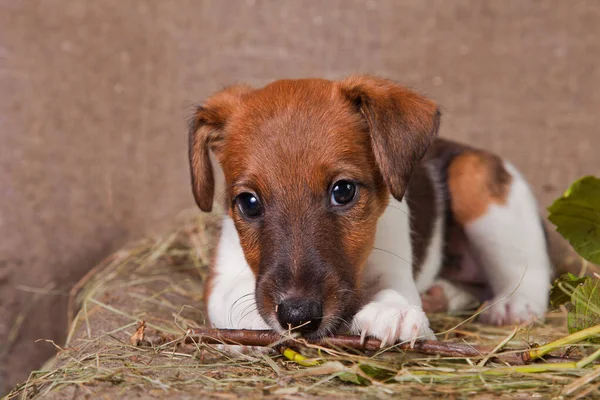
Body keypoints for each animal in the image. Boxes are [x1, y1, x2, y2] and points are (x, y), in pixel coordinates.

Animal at [189, 76, 552, 346]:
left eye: (343, 191)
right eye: (249, 203)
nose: (298, 315)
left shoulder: (394, 267)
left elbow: (395, 291)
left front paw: (393, 311)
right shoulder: (220, 281)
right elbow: (237, 299)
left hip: (473, 176)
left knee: (530, 272)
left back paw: (513, 305)